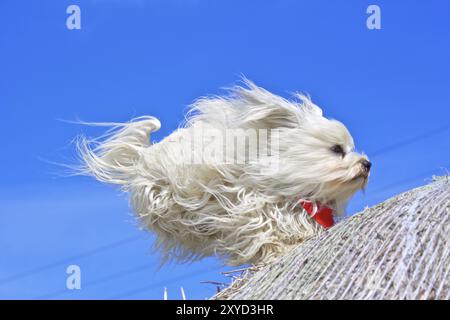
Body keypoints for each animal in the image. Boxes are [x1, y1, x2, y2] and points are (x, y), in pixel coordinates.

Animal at [77, 79, 370, 264]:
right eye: (336, 149)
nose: (367, 164)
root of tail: (143, 155)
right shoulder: (247, 206)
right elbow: (264, 229)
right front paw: (279, 248)